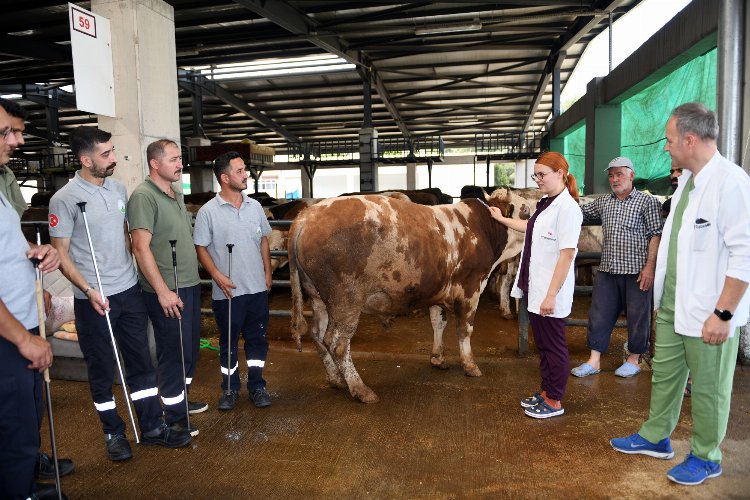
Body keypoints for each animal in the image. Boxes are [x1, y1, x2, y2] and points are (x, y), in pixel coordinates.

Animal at [288, 192, 524, 402]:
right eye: (525, 209)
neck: (480, 228)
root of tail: (307, 216)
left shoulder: (438, 293)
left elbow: (438, 324)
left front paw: (438, 358)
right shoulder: (470, 289)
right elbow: (465, 329)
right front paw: (470, 364)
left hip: (319, 299)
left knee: (318, 336)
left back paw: (336, 379)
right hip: (346, 301)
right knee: (337, 343)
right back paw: (360, 389)